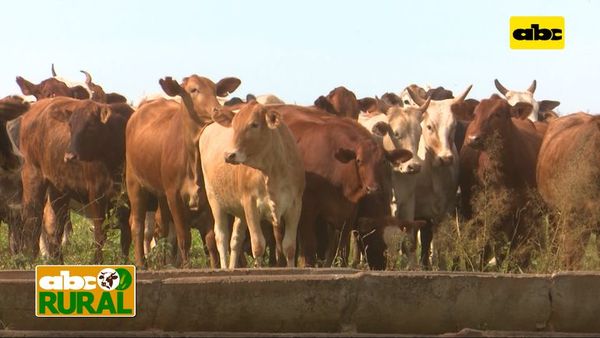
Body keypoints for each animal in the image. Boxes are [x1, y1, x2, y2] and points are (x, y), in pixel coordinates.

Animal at [125, 74, 240, 270]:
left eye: (215, 90)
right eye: (193, 90)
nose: (218, 111)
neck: (191, 159)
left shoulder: (205, 199)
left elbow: (210, 240)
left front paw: (214, 266)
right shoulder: (174, 196)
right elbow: (184, 238)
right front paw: (186, 266)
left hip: (160, 196)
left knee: (163, 229)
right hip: (135, 184)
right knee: (137, 225)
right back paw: (141, 263)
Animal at [200, 101, 304, 268]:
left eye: (254, 124)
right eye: (234, 125)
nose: (229, 155)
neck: (273, 171)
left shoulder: (295, 205)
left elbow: (289, 247)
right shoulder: (250, 203)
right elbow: (258, 246)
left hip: (240, 211)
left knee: (235, 240)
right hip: (214, 200)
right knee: (221, 237)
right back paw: (224, 267)